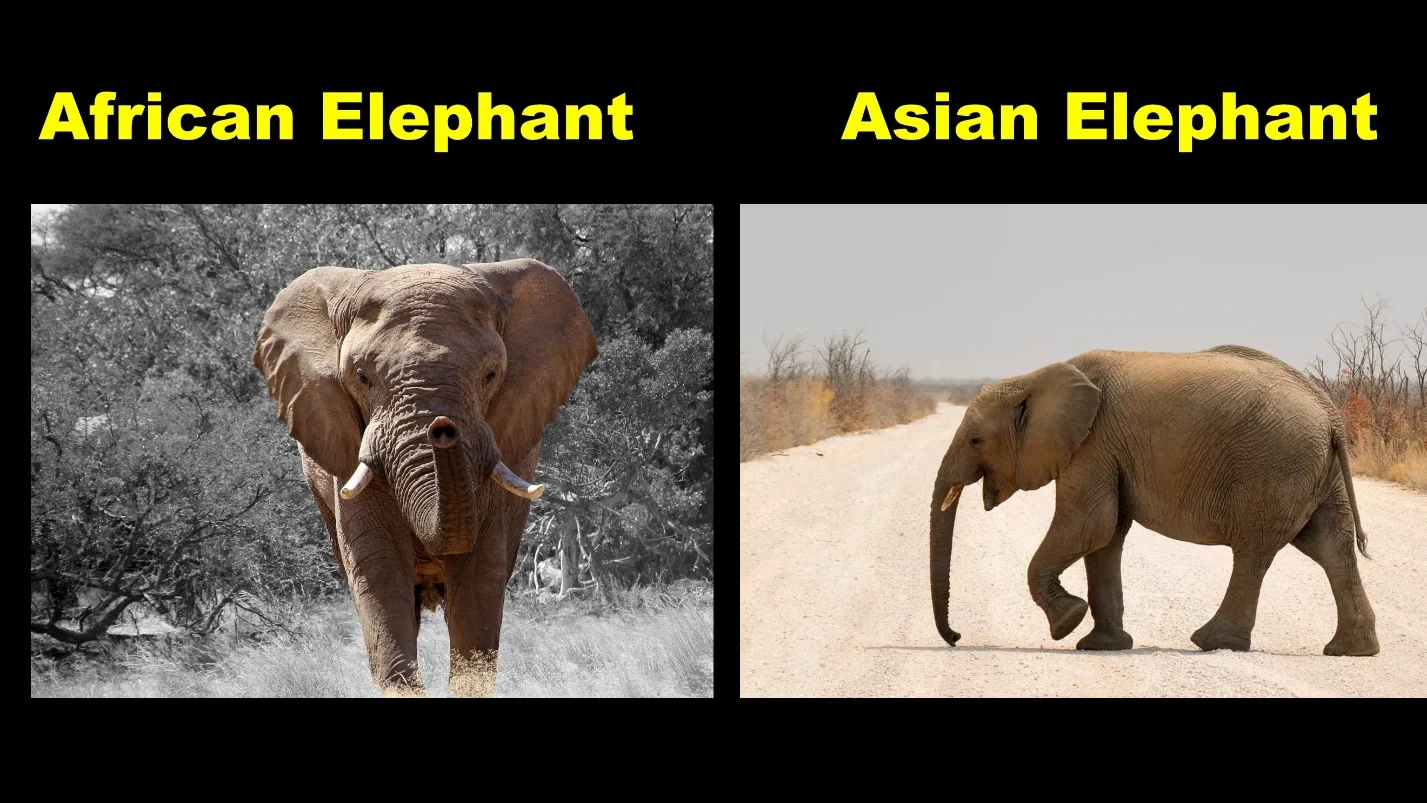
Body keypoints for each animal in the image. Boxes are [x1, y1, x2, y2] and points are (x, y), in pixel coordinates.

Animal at [929, 344, 1380, 657]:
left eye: (975, 440)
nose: (956, 637)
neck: (1034, 379)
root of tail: (1330, 413)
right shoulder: (1105, 450)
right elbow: (1105, 536)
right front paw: (1100, 645)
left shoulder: (1092, 444)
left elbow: (1089, 524)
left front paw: (1066, 624)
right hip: (1318, 472)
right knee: (1331, 546)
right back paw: (1351, 651)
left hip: (1275, 466)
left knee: (1255, 551)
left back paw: (1211, 642)